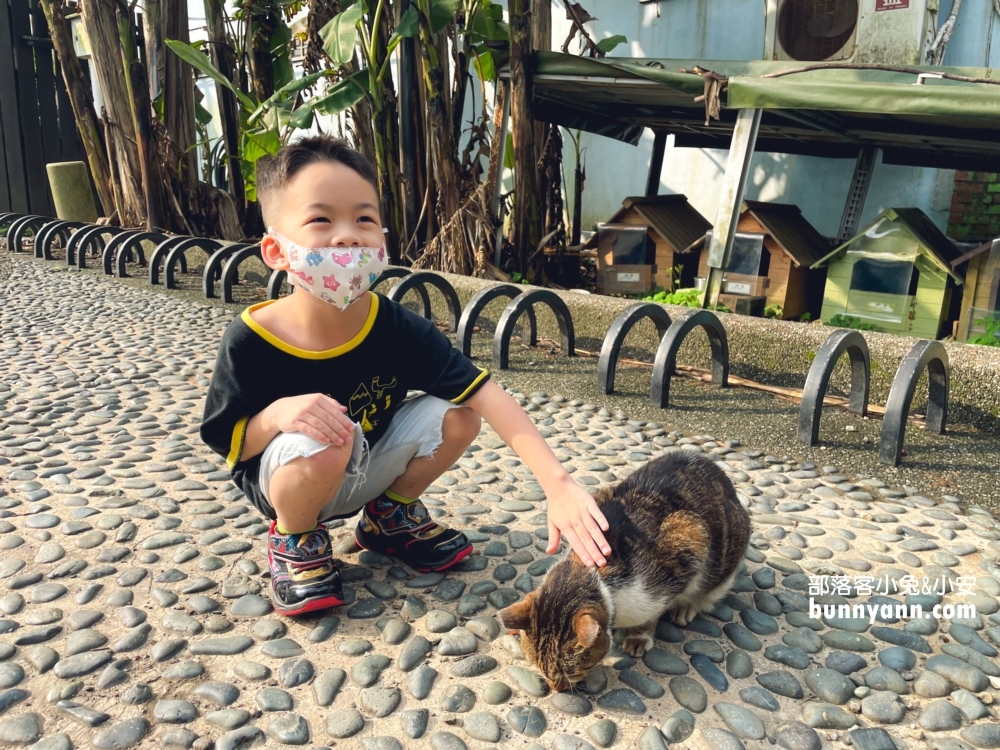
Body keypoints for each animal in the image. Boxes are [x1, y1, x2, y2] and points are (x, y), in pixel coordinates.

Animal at [496, 452, 748, 692]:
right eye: (538, 667)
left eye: (566, 673)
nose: (554, 689)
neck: (590, 570)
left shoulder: (688, 540)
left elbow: (650, 616)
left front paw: (639, 636)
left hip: (721, 562)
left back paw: (686, 608)